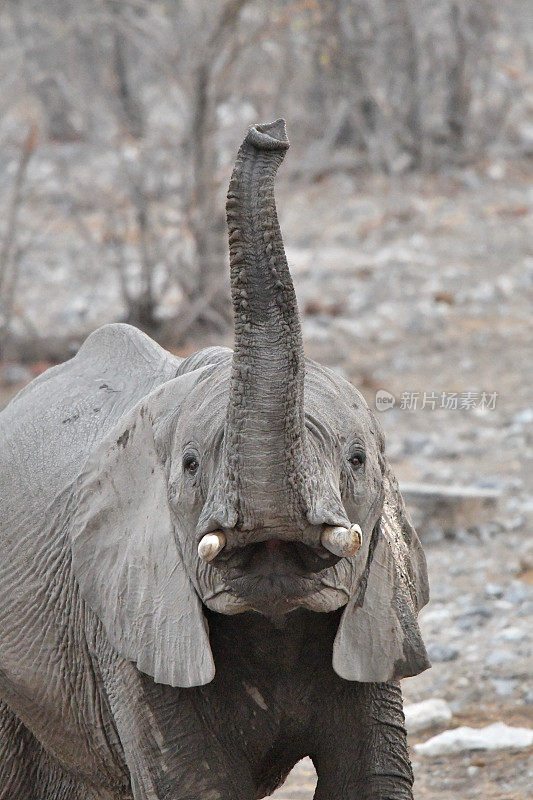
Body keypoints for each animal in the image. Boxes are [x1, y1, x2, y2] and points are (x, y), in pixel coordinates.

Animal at [0, 120, 428, 800]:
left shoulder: (378, 610)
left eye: (358, 459)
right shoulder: (126, 622)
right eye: (191, 465)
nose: (270, 132)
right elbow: (194, 784)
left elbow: (371, 779)